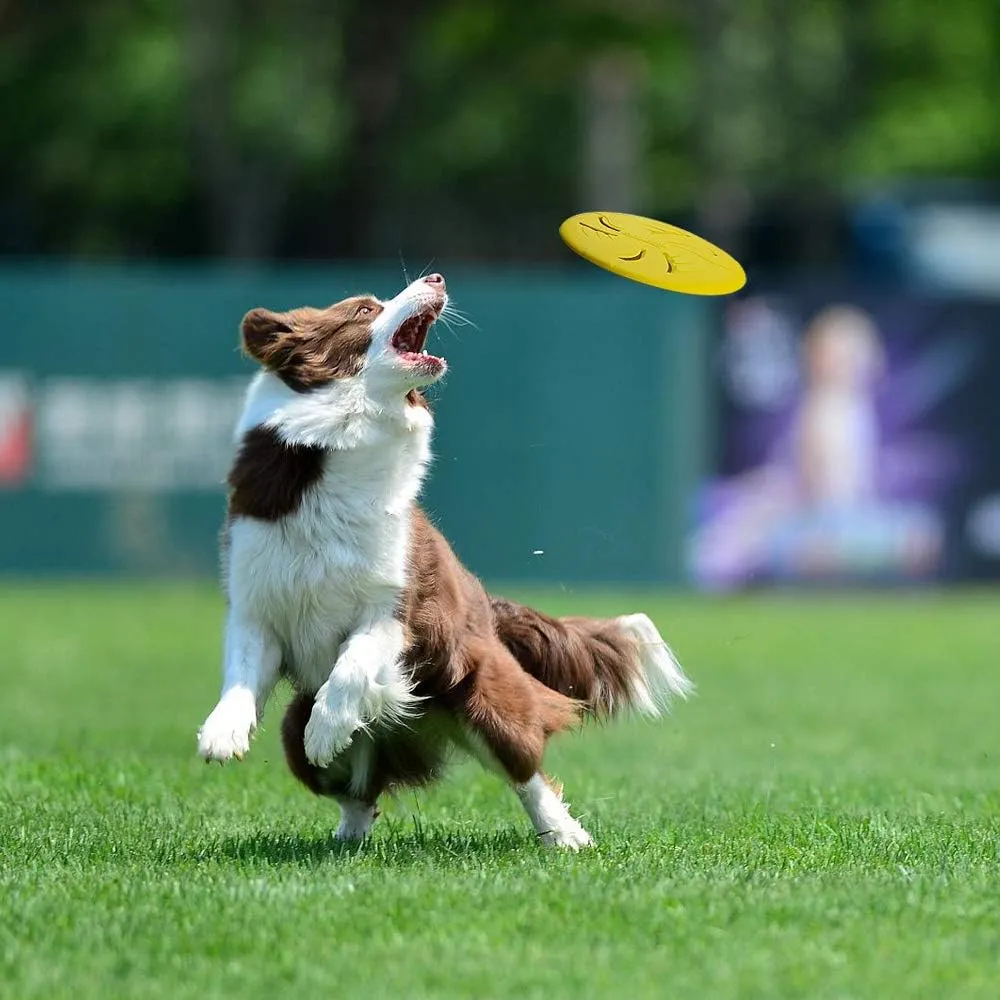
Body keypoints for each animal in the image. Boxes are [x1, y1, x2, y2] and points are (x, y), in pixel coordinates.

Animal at [198, 276, 692, 852]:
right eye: (364, 310)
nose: (435, 279)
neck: (343, 443)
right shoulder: (257, 600)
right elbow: (242, 667)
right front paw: (222, 733)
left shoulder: (397, 608)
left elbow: (352, 666)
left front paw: (328, 727)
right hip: (295, 731)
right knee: (357, 790)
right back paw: (346, 835)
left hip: (487, 694)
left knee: (526, 770)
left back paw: (565, 834)